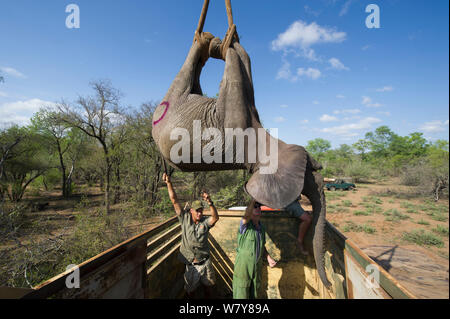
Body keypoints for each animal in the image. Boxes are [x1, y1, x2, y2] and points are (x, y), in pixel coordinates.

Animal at [151, 33, 330, 290]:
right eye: (312, 179)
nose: (328, 285)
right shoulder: (235, 123)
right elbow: (237, 71)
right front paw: (226, 43)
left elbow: (244, 61)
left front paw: (225, 43)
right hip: (170, 104)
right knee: (185, 74)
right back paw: (206, 41)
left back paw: (208, 43)